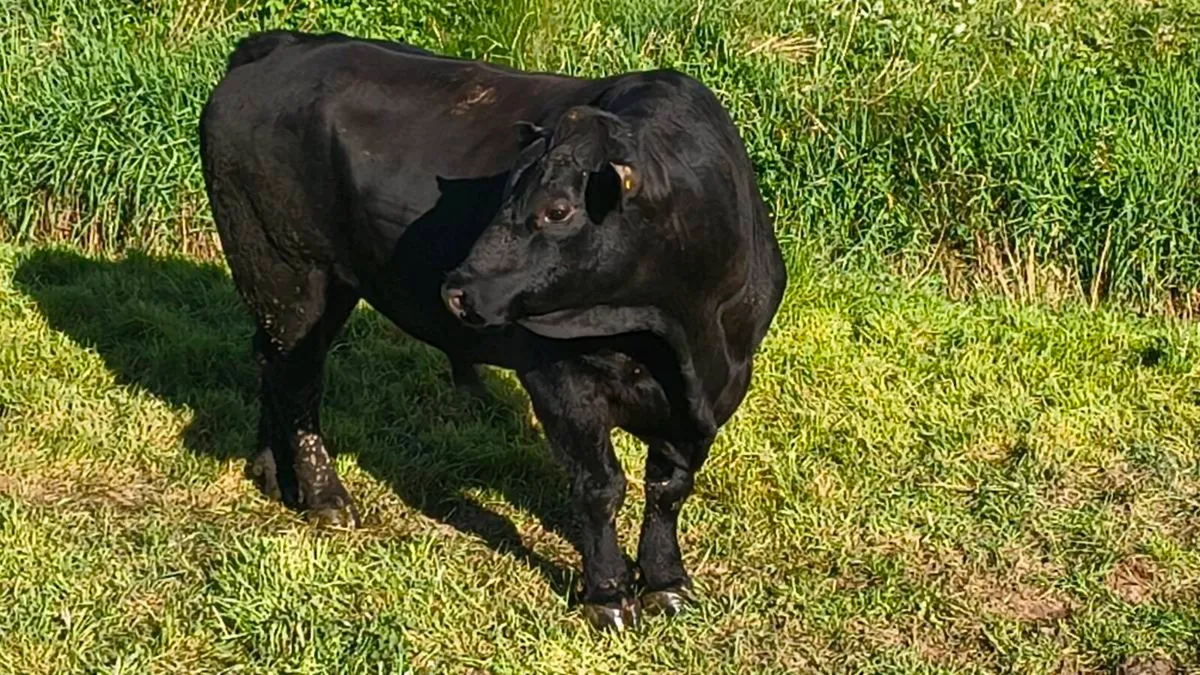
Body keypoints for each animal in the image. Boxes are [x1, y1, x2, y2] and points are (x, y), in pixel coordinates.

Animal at [199, 30, 786, 631]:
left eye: (558, 210)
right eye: (504, 194)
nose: (457, 290)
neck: (681, 336)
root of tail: (284, 45)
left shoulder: (718, 391)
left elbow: (669, 488)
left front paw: (668, 583)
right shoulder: (558, 378)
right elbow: (600, 487)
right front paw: (608, 595)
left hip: (312, 287)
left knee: (273, 362)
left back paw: (271, 471)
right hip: (286, 271)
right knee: (299, 379)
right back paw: (325, 497)